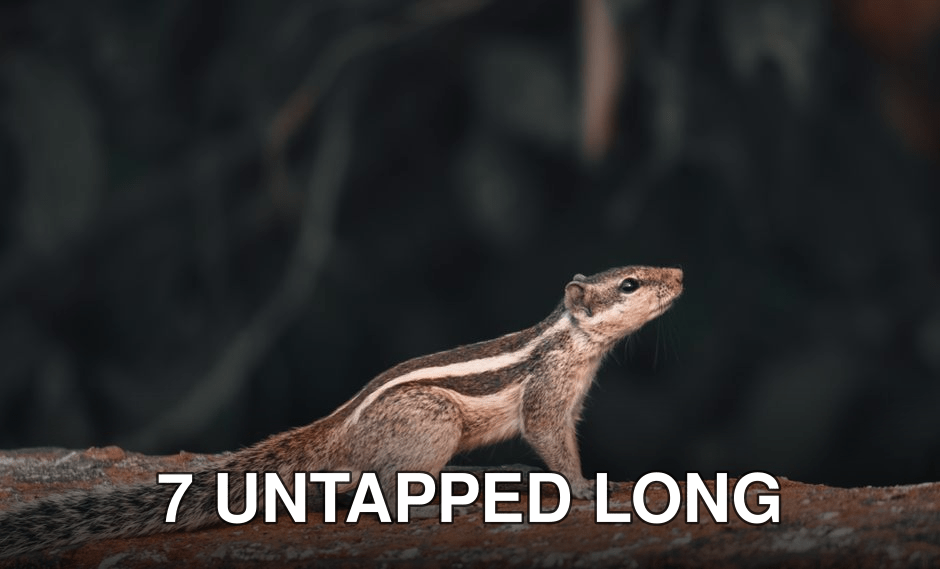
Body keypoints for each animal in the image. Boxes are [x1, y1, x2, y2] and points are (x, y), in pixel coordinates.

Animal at [0, 265, 683, 558]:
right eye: (629, 283)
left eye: (646, 269)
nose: (676, 272)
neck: (573, 338)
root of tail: (336, 433)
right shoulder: (548, 396)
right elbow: (551, 440)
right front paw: (585, 487)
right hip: (431, 423)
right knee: (379, 487)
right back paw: (433, 500)